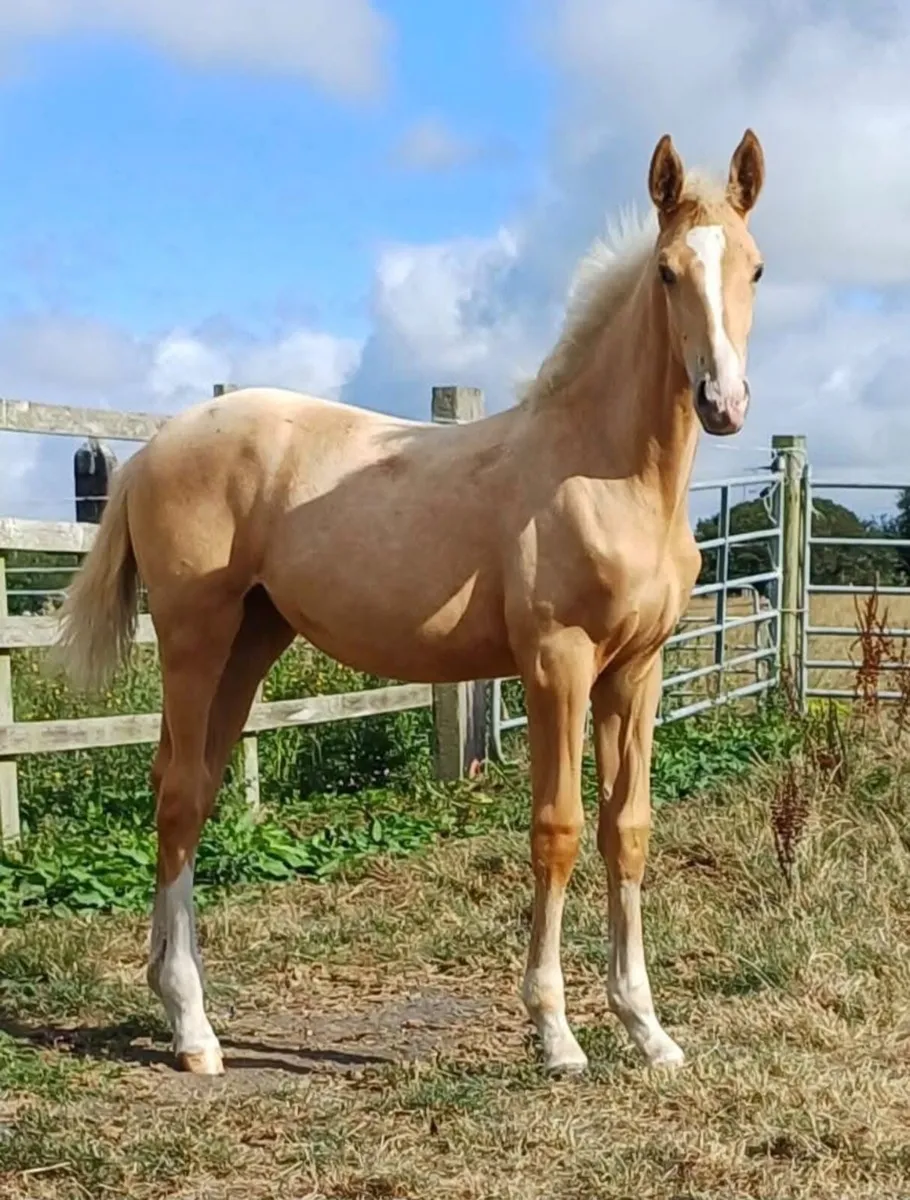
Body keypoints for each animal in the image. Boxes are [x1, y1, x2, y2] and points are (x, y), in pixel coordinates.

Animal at [53, 129, 766, 1077]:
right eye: (666, 271)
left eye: (754, 267)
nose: (722, 403)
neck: (606, 472)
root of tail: (153, 447)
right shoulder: (557, 664)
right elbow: (559, 830)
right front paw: (556, 1035)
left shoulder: (636, 672)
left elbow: (630, 832)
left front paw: (648, 1030)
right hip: (195, 638)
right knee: (176, 796)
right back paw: (195, 1031)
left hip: (251, 639)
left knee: (190, 785)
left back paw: (181, 1007)